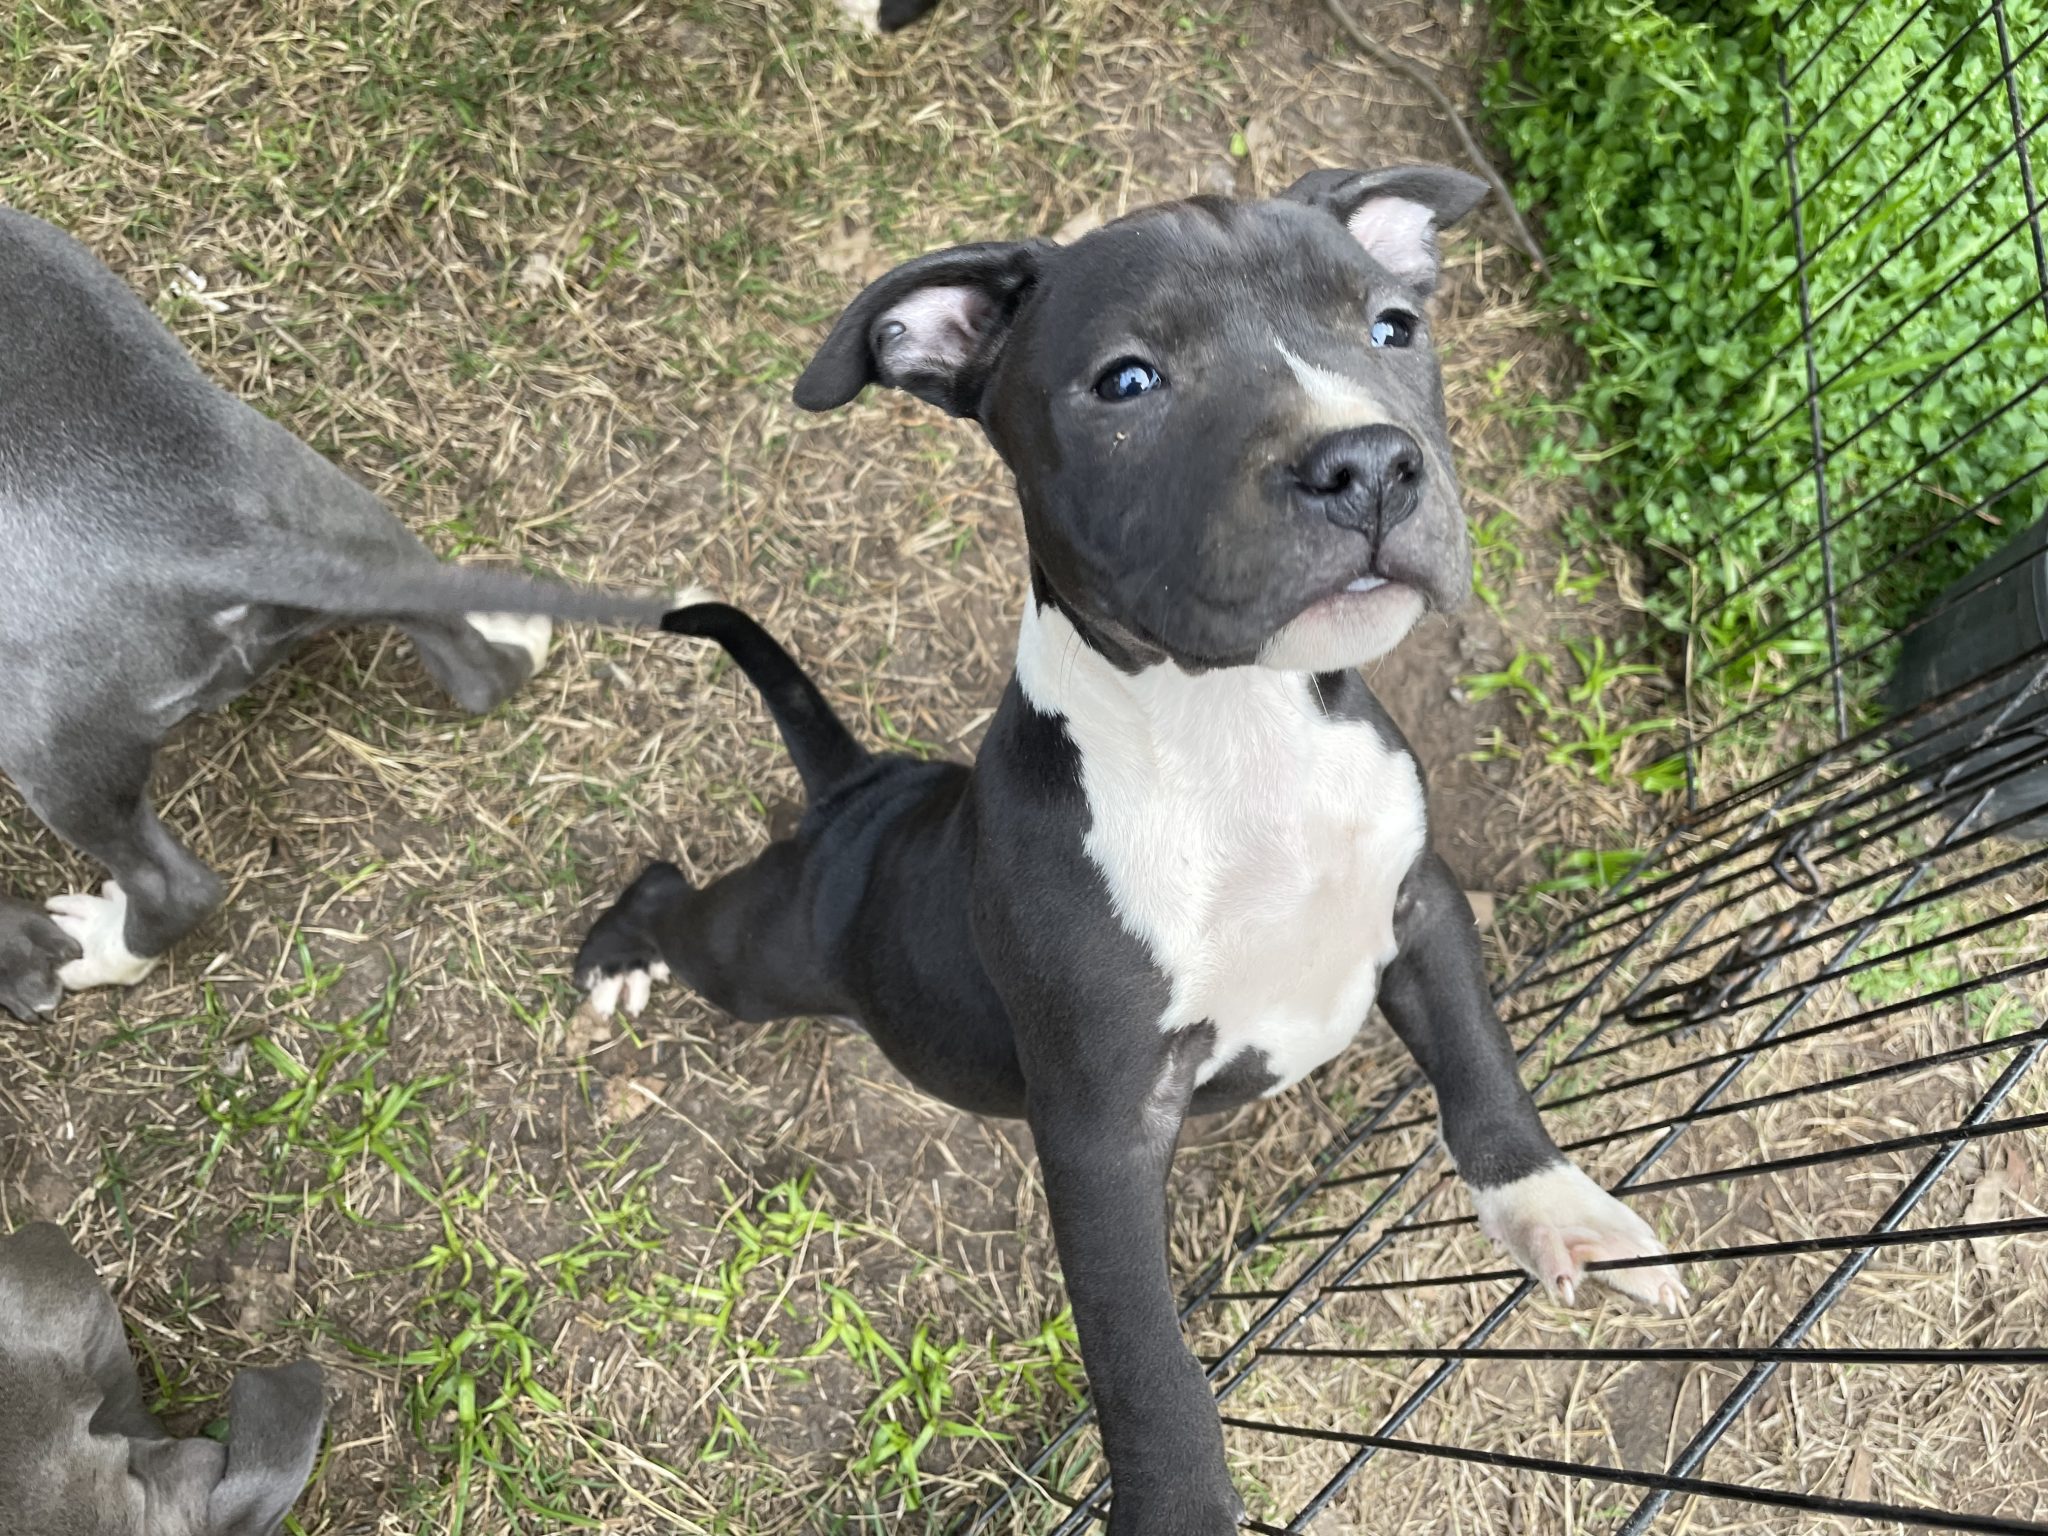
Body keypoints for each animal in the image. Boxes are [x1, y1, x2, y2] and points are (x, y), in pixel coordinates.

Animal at [0, 207, 675, 1023]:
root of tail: (210, 540)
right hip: (356, 522)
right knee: (474, 666)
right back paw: (511, 633)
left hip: (52, 747)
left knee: (173, 887)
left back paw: (99, 948)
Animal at [574, 166, 1687, 1533]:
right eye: (1126, 382)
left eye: (1391, 327)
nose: (1368, 462)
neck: (1238, 736)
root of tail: (864, 789)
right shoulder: (1100, 1126)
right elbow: (1147, 1365)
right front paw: (1180, 1503)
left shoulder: (1419, 909)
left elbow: (1484, 1076)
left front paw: (1555, 1212)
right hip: (767, 953)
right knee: (678, 906)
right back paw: (618, 954)